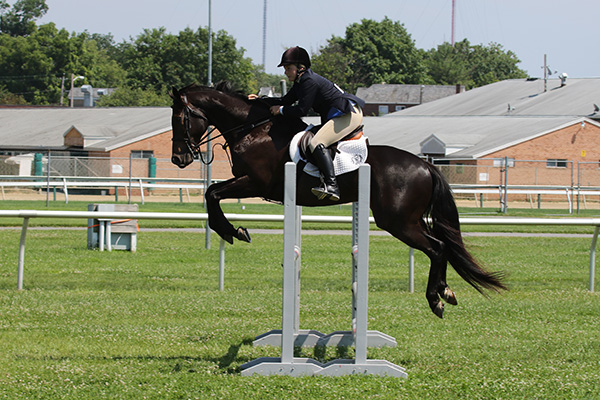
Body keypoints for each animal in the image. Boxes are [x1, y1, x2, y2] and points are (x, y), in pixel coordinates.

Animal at [170, 82, 506, 318]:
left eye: (179, 118)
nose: (178, 159)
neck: (254, 130)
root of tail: (426, 166)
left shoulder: (255, 182)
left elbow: (212, 193)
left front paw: (233, 231)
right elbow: (212, 193)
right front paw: (234, 230)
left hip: (397, 221)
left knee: (437, 248)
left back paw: (435, 299)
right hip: (405, 220)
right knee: (443, 246)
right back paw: (446, 291)